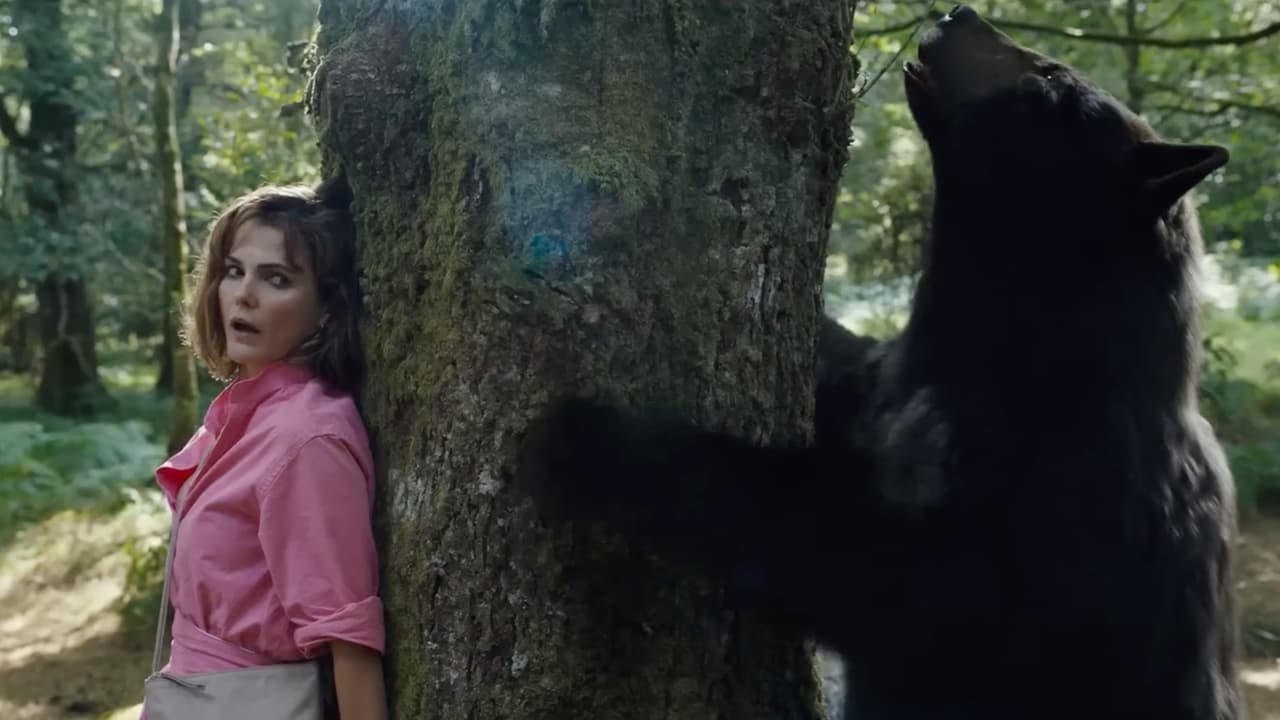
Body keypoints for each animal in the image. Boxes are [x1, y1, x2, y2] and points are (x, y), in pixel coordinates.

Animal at [513, 6, 1242, 720]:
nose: (960, 11)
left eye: (1050, 87)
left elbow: (883, 572)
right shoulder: (887, 385)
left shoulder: (1066, 504)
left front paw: (597, 440)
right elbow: (840, 372)